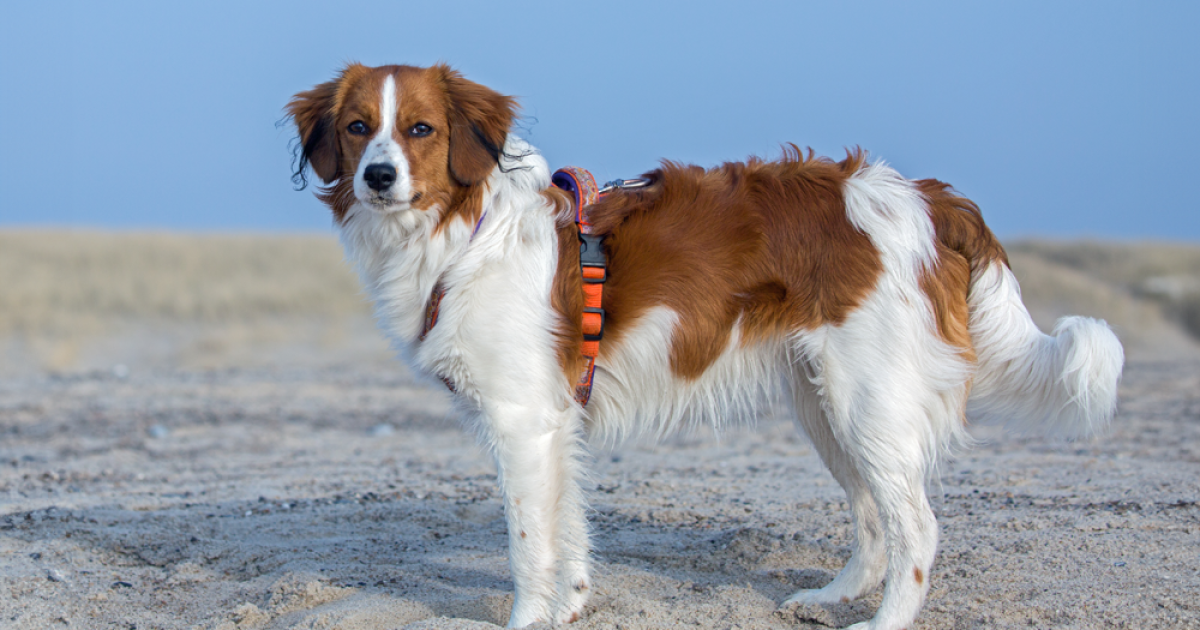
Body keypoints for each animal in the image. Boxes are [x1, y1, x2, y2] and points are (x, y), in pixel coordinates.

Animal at [290, 63, 1123, 628]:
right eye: (359, 127)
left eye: (420, 129)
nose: (378, 177)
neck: (463, 235)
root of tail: (924, 195)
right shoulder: (555, 423)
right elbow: (569, 531)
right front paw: (572, 608)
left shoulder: (522, 421)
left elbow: (529, 543)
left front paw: (530, 619)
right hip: (826, 404)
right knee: (872, 516)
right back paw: (833, 595)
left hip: (868, 401)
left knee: (916, 526)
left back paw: (883, 621)